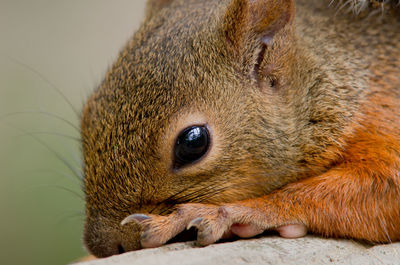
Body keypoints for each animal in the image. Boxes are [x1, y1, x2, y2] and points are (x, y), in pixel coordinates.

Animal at [80, 0, 400, 258]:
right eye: (88, 114)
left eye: (193, 143)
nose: (103, 246)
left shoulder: (383, 114)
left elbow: (383, 190)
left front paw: (226, 214)